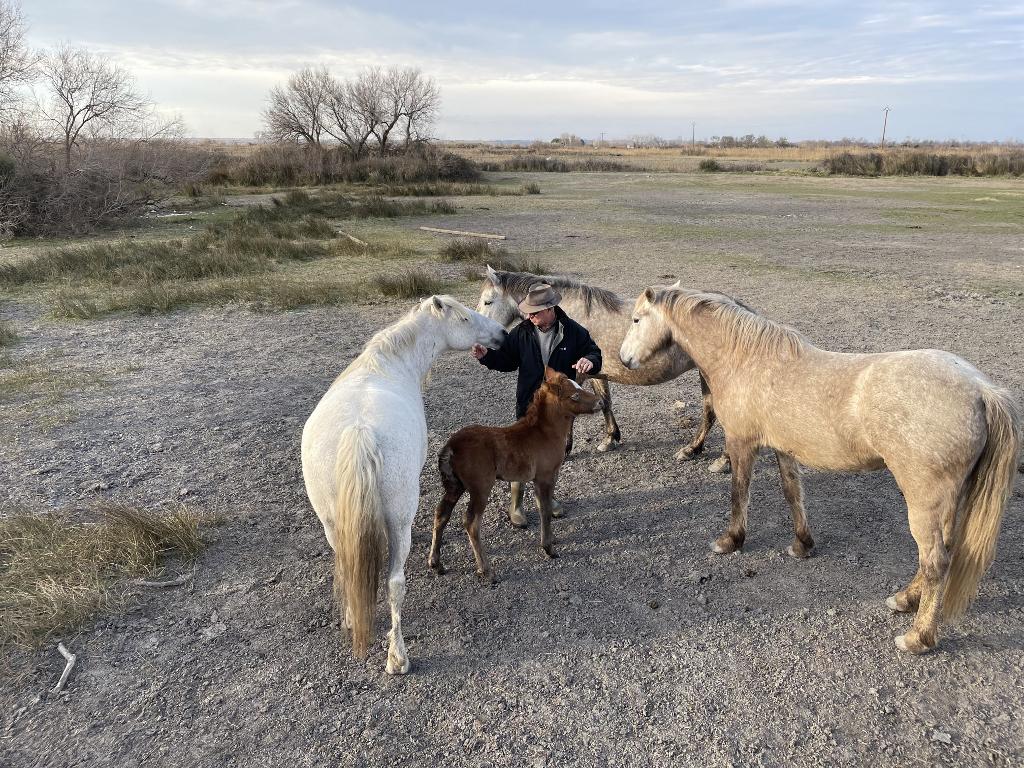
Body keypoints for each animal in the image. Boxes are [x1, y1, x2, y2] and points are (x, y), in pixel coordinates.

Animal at [301, 296, 509, 671]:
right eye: (465, 318)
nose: (502, 333)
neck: (386, 364)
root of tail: (359, 432)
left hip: (332, 523)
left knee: (347, 568)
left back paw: (353, 619)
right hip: (399, 520)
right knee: (395, 584)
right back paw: (397, 657)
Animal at [428, 370, 602, 581]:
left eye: (578, 385)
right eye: (574, 395)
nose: (600, 402)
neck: (544, 433)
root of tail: (451, 446)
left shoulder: (541, 478)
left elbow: (541, 506)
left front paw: (551, 539)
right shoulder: (545, 476)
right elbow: (545, 510)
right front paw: (548, 548)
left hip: (454, 485)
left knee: (441, 513)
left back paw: (436, 563)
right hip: (480, 487)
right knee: (471, 521)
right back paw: (486, 570)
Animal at [477, 264, 729, 473]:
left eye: (488, 301)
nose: (481, 343)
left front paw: (566, 449)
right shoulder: (596, 372)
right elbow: (605, 402)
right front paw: (610, 439)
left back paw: (714, 458)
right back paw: (693, 450)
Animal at [618, 288, 1019, 655]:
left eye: (636, 319)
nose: (623, 358)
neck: (746, 359)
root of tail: (982, 390)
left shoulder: (742, 443)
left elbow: (739, 493)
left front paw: (730, 541)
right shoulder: (783, 448)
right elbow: (792, 494)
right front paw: (802, 544)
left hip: (923, 500)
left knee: (936, 562)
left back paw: (917, 638)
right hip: (947, 502)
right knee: (941, 555)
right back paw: (905, 600)